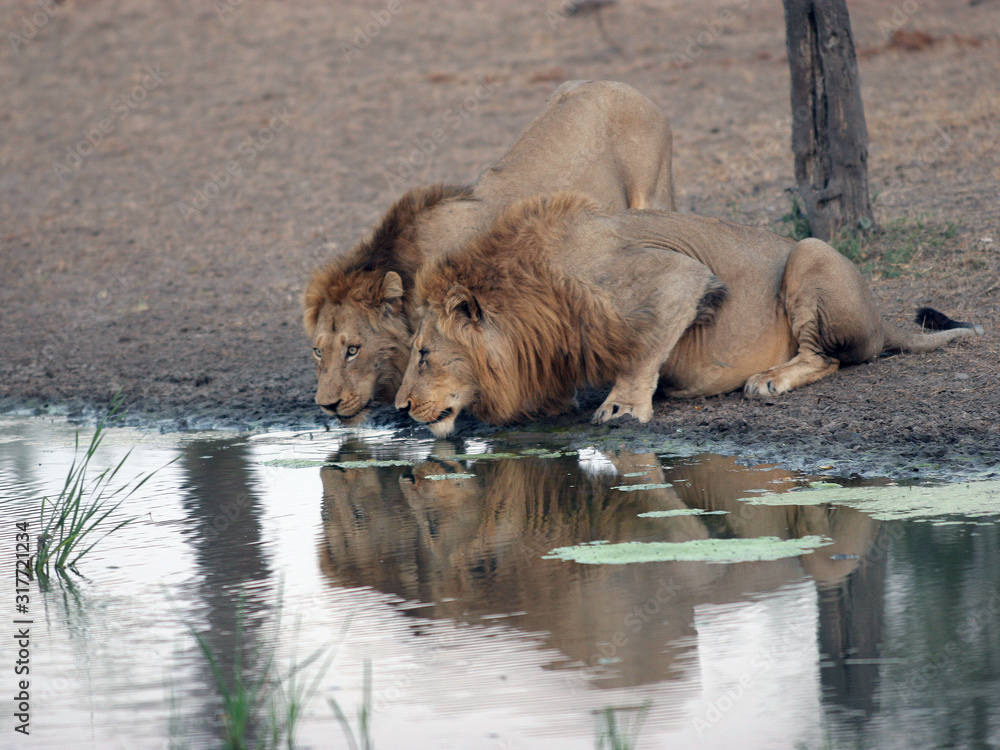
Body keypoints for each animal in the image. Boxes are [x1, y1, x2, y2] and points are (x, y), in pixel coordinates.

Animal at [394, 192, 982, 437]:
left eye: (424, 355)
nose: (399, 407)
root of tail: (882, 317)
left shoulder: (675, 276)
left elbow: (643, 347)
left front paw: (623, 407)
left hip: (810, 252)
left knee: (827, 358)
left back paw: (769, 379)